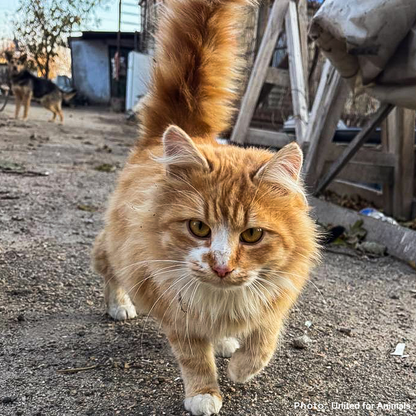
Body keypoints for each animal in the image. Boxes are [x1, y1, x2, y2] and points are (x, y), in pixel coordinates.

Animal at [92, 0, 320, 414]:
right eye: (198, 228)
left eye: (252, 234)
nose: (221, 266)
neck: (223, 299)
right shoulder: (175, 310)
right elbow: (195, 357)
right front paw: (204, 393)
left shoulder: (277, 293)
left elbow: (265, 339)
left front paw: (242, 367)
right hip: (117, 251)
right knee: (108, 270)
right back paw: (119, 305)